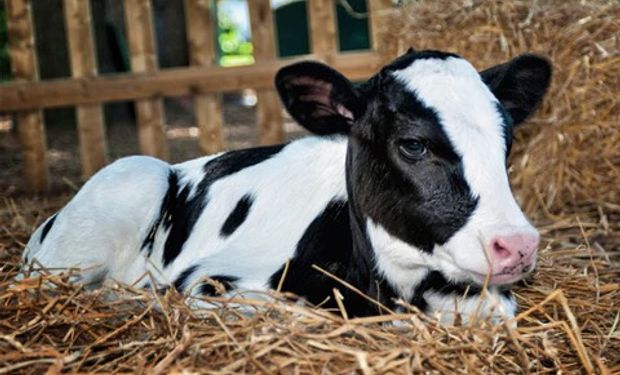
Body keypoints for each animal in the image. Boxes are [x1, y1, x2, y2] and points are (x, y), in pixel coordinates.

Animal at [23, 50, 552, 324]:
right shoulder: (212, 283)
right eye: (414, 144)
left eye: (506, 140)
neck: (388, 286)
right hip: (124, 188)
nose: (518, 245)